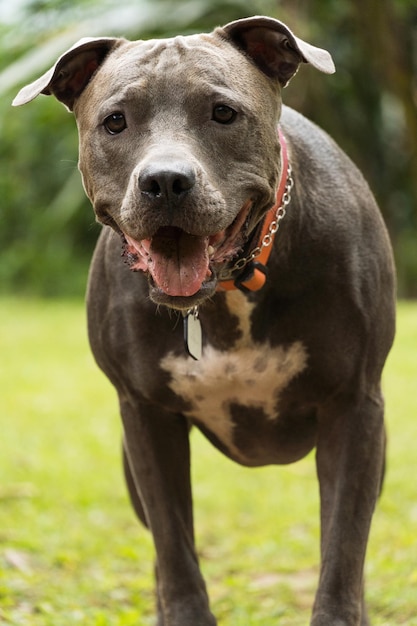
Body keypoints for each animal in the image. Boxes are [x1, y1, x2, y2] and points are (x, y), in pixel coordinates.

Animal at [14, 13, 394, 624]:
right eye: (115, 121)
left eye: (223, 113)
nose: (165, 181)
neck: (226, 292)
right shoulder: (146, 418)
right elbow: (175, 550)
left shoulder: (355, 408)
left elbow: (342, 553)